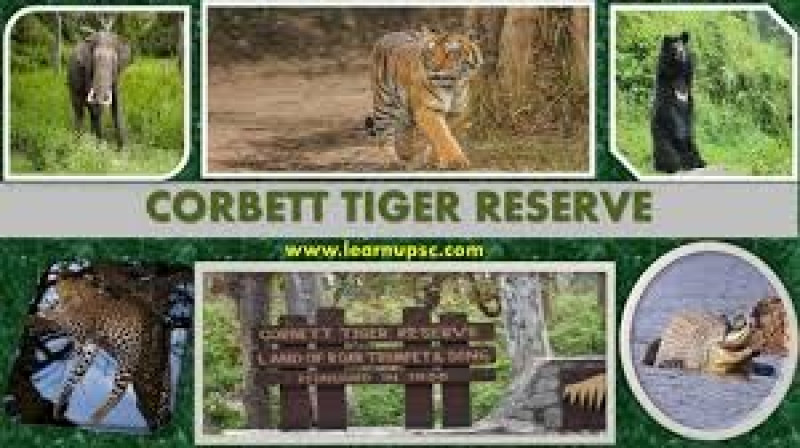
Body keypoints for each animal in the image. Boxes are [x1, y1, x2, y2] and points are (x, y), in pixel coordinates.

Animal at [365, 27, 483, 169]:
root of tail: (389, 34)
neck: (453, 86)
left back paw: (406, 152)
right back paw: (393, 161)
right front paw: (456, 161)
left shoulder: (456, 112)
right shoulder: (427, 109)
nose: (435, 68)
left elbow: (446, 134)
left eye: (452, 53)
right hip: (384, 103)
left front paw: (434, 159)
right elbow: (442, 135)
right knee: (384, 133)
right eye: (431, 52)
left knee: (406, 127)